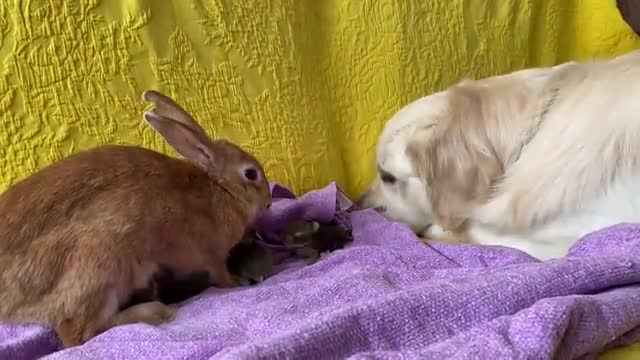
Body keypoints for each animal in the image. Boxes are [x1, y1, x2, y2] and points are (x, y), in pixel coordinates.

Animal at [0, 89, 270, 346]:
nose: (268, 202)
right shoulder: (211, 254)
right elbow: (221, 276)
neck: (221, 188)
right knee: (80, 332)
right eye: (250, 174)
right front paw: (238, 282)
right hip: (102, 265)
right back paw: (155, 312)